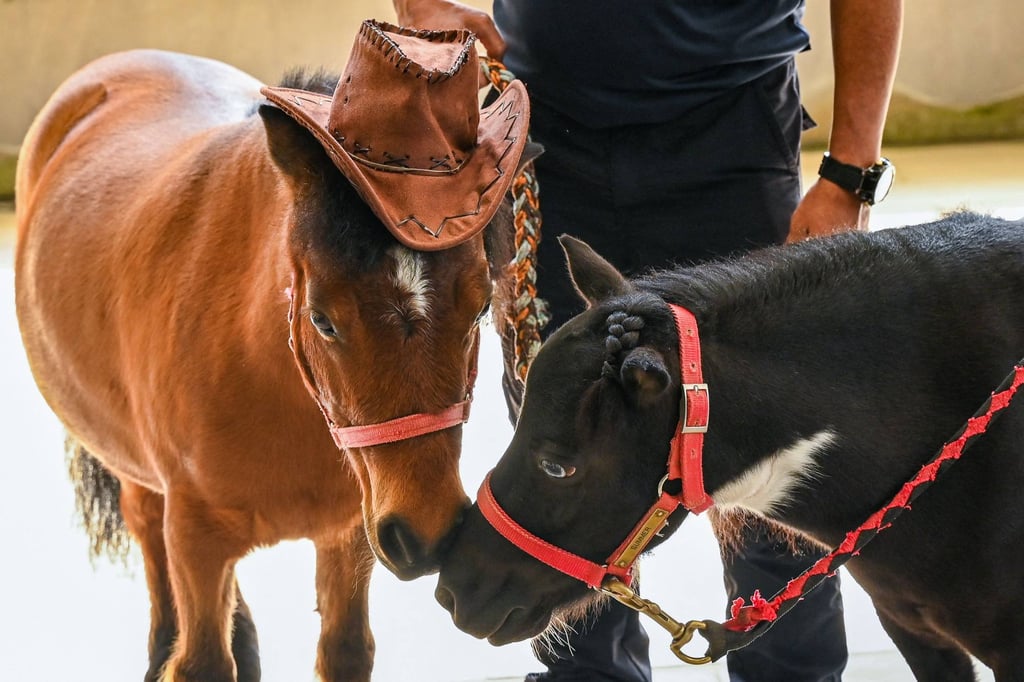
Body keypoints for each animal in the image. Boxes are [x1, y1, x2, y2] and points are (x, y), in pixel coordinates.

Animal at [15, 21, 532, 682]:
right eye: (323, 320)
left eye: (479, 308)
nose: (427, 533)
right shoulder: (196, 540)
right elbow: (202, 659)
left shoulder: (349, 533)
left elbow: (345, 649)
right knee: (150, 537)